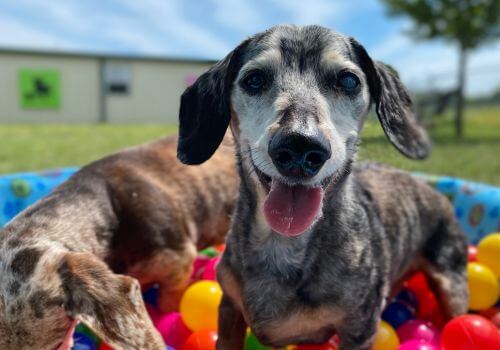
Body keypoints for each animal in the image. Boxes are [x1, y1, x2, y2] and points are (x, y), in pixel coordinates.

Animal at [177, 25, 468, 350]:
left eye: (349, 80)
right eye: (254, 79)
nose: (300, 146)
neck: (285, 243)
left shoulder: (359, 328)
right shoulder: (229, 307)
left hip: (452, 284)